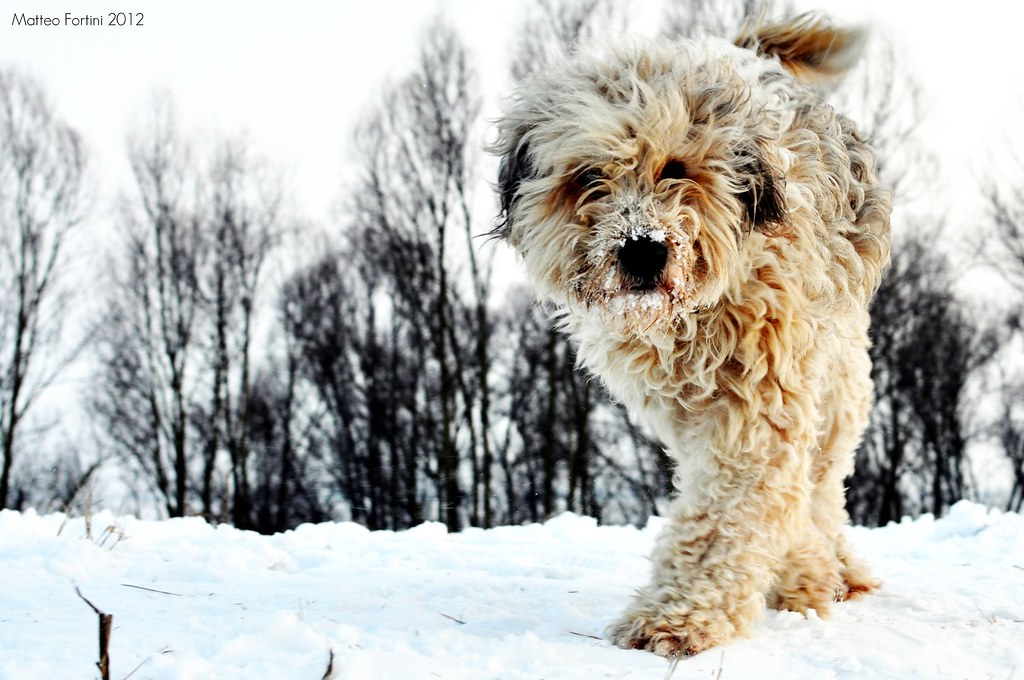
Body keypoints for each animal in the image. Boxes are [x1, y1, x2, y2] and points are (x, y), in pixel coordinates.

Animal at [487, 14, 888, 655]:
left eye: (676, 168)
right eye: (589, 176)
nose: (642, 249)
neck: (695, 317)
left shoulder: (762, 396)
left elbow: (729, 515)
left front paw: (679, 620)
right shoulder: (690, 406)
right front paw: (792, 574)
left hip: (839, 376)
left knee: (823, 483)